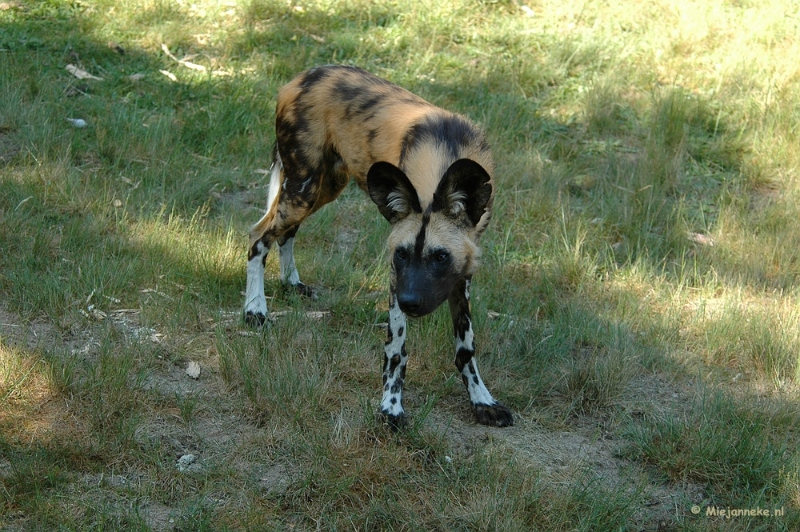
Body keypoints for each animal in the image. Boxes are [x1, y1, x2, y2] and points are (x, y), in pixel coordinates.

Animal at [242, 65, 512, 428]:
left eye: (441, 257)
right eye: (402, 254)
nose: (410, 302)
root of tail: (301, 77)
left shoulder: (462, 273)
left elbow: (465, 347)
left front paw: (482, 400)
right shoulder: (396, 277)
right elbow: (396, 350)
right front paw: (391, 408)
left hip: (323, 189)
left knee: (286, 233)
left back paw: (291, 283)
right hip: (303, 189)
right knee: (259, 237)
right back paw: (255, 309)